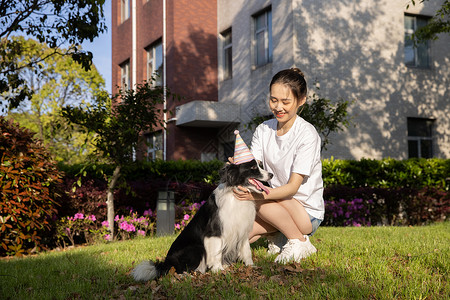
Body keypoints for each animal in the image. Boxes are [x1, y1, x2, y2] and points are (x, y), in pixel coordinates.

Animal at [130, 159, 270, 282]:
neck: (235, 195)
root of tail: (166, 262)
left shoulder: (242, 230)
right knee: (178, 269)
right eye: (253, 168)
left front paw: (251, 266)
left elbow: (246, 251)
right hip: (196, 248)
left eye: (261, 165)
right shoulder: (214, 232)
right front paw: (218, 269)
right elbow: (217, 252)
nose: (271, 174)